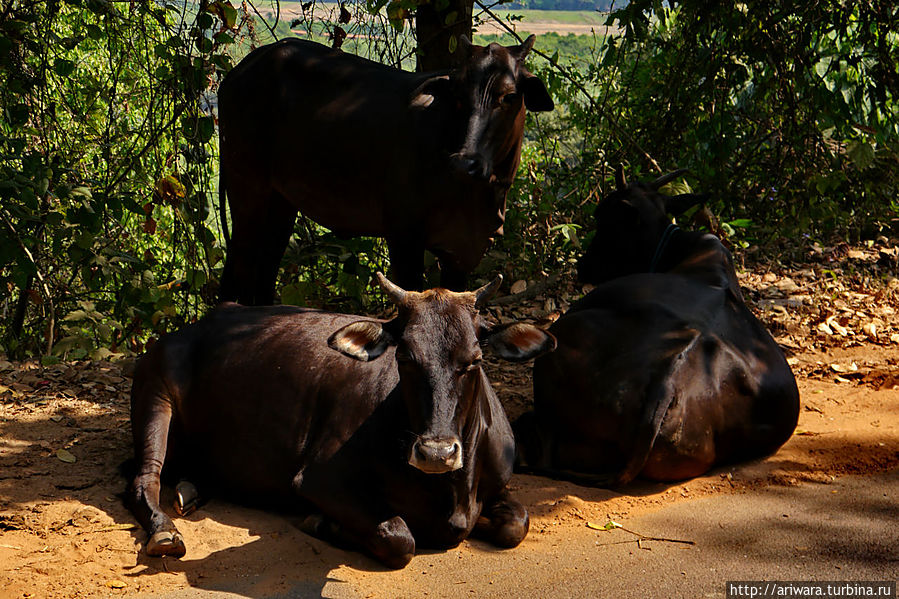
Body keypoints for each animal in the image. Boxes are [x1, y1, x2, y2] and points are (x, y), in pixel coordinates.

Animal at [126, 274, 556, 568]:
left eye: (475, 360)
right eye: (405, 357)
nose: (436, 453)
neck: (451, 493)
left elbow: (517, 523)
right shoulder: (318, 479)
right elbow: (399, 536)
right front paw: (323, 523)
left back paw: (191, 488)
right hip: (155, 396)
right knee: (144, 479)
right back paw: (165, 530)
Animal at [219, 34, 556, 304]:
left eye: (509, 96)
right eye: (458, 95)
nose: (464, 163)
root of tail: (242, 69)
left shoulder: (464, 251)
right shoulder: (404, 234)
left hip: (281, 201)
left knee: (264, 268)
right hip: (246, 188)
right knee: (240, 266)